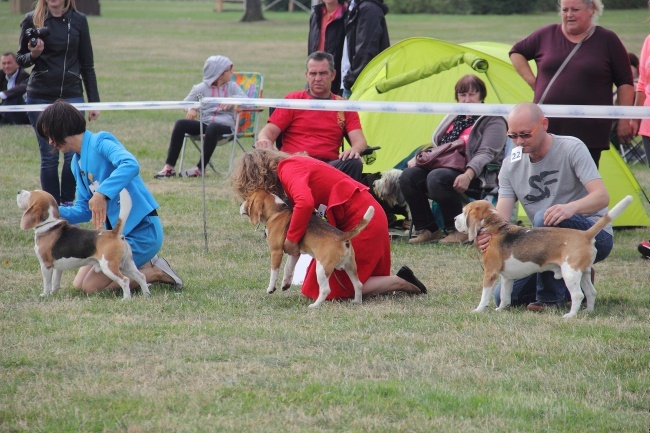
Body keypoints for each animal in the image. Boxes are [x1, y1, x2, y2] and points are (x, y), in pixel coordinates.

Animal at [18, 191, 151, 298]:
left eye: (30, 194)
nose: (19, 191)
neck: (49, 224)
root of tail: (114, 233)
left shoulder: (46, 265)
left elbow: (47, 283)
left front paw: (45, 295)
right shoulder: (58, 267)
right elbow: (55, 282)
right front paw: (53, 294)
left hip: (109, 266)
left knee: (125, 280)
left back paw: (126, 299)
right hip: (127, 265)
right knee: (141, 277)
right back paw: (146, 295)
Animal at [239, 189, 374, 308]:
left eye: (247, 199)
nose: (240, 204)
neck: (277, 211)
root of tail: (341, 236)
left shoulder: (276, 252)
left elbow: (274, 272)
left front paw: (271, 288)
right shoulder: (294, 252)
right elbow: (288, 268)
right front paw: (285, 284)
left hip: (321, 269)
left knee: (325, 290)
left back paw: (315, 306)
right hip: (350, 266)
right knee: (358, 285)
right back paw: (356, 301)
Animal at [454, 196, 632, 318]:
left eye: (464, 212)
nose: (455, 219)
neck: (495, 227)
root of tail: (585, 234)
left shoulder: (490, 273)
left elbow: (485, 295)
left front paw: (478, 310)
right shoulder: (507, 278)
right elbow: (504, 296)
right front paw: (501, 309)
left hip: (570, 273)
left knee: (578, 295)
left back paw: (570, 316)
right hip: (584, 273)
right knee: (591, 292)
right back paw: (588, 311)